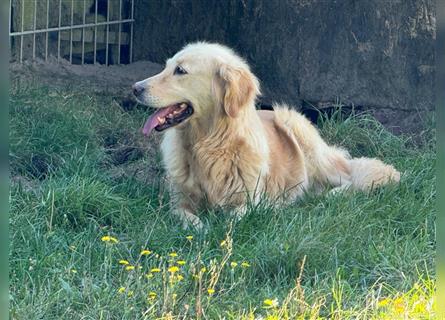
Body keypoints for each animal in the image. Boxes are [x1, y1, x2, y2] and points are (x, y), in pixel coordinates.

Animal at [132, 42, 398, 230]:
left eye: (180, 71)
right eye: (166, 66)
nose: (135, 88)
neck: (207, 144)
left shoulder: (252, 201)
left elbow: (233, 218)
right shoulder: (177, 200)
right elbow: (185, 216)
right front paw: (199, 227)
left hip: (299, 132)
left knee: (349, 179)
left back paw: (329, 195)